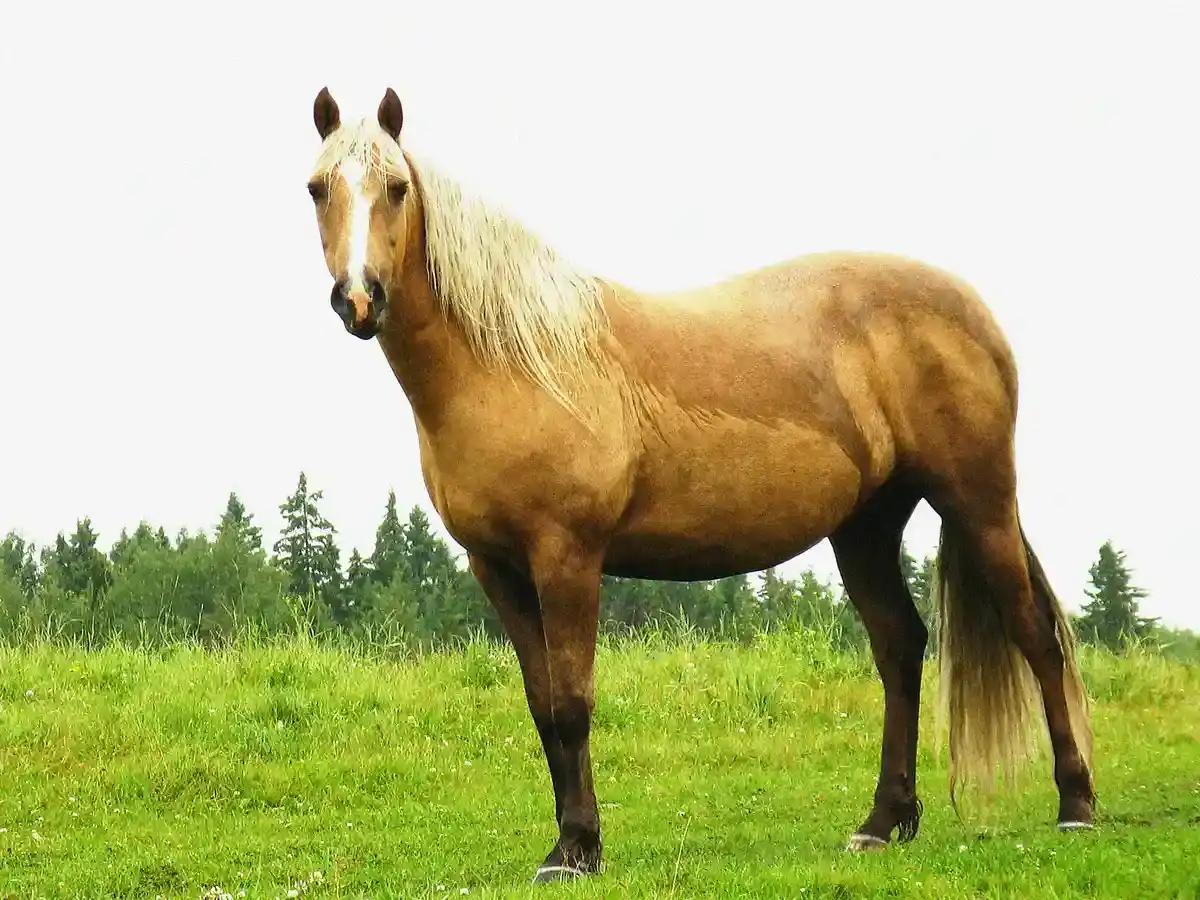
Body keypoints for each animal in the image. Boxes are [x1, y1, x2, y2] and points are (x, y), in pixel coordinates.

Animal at [302, 86, 1095, 883]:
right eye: (317, 188)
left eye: (397, 188)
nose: (359, 299)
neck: (517, 364)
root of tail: (973, 312)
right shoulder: (495, 566)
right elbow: (541, 705)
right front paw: (567, 842)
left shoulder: (567, 558)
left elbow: (572, 702)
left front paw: (578, 848)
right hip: (867, 527)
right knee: (900, 648)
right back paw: (882, 822)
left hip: (978, 501)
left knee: (1036, 635)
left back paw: (1075, 804)